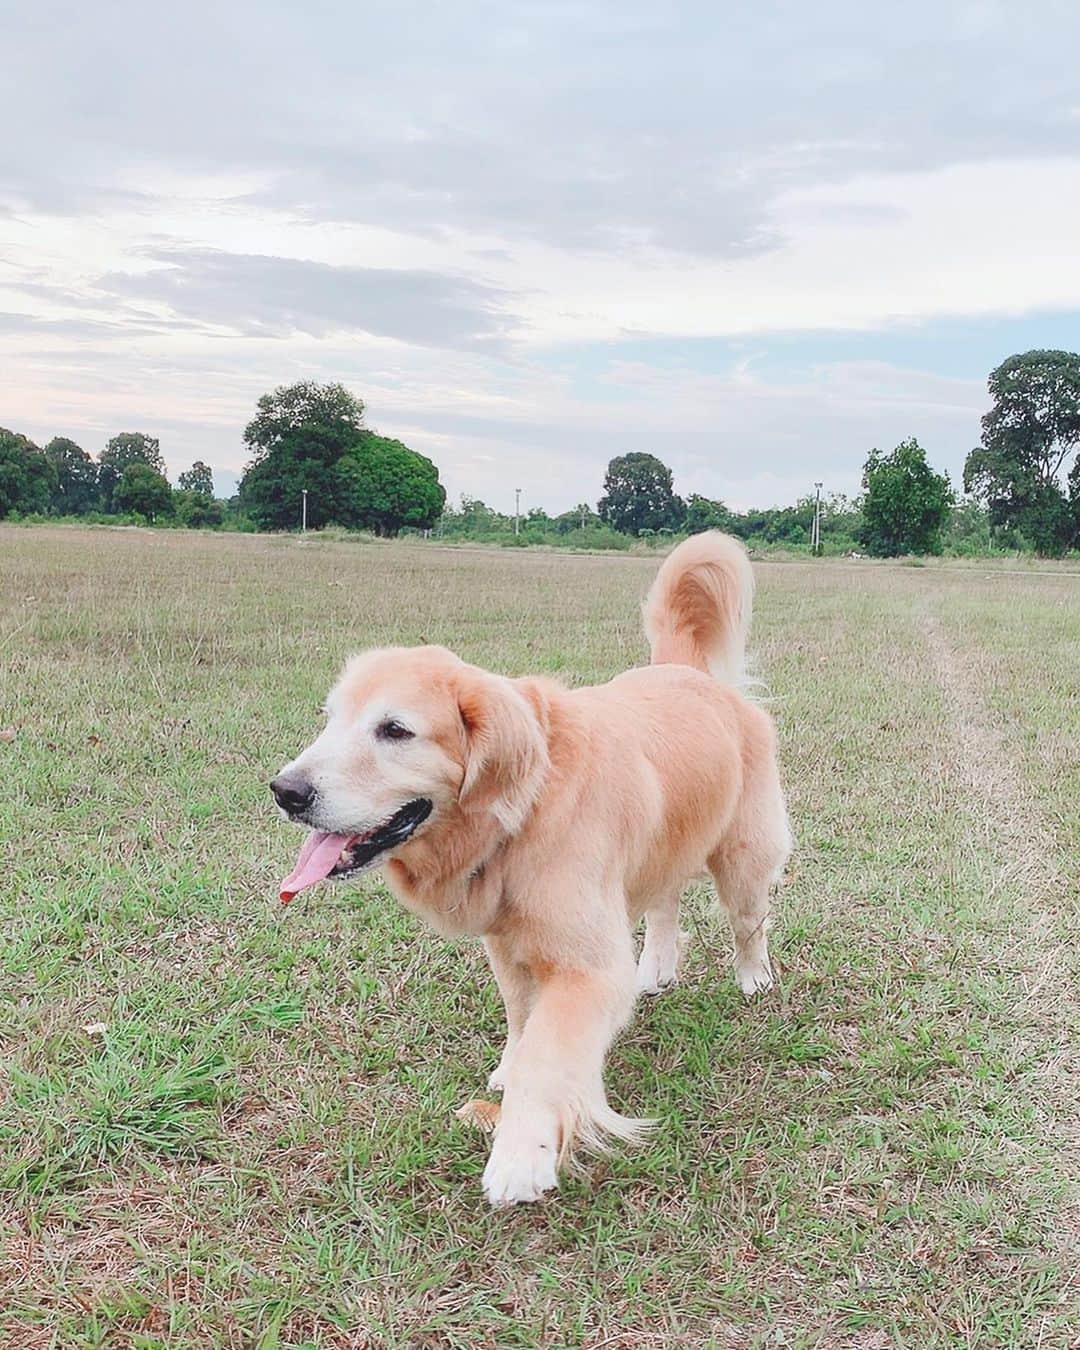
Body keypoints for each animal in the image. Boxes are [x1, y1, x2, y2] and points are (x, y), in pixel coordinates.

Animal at [272, 531, 793, 1209]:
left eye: (395, 730)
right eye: (329, 718)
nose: (285, 791)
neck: (523, 813)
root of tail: (687, 670)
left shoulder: (584, 966)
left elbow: (548, 1056)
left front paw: (522, 1152)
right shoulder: (508, 942)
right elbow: (523, 1024)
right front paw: (507, 1073)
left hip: (743, 850)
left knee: (748, 919)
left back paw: (754, 978)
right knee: (665, 901)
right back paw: (656, 967)